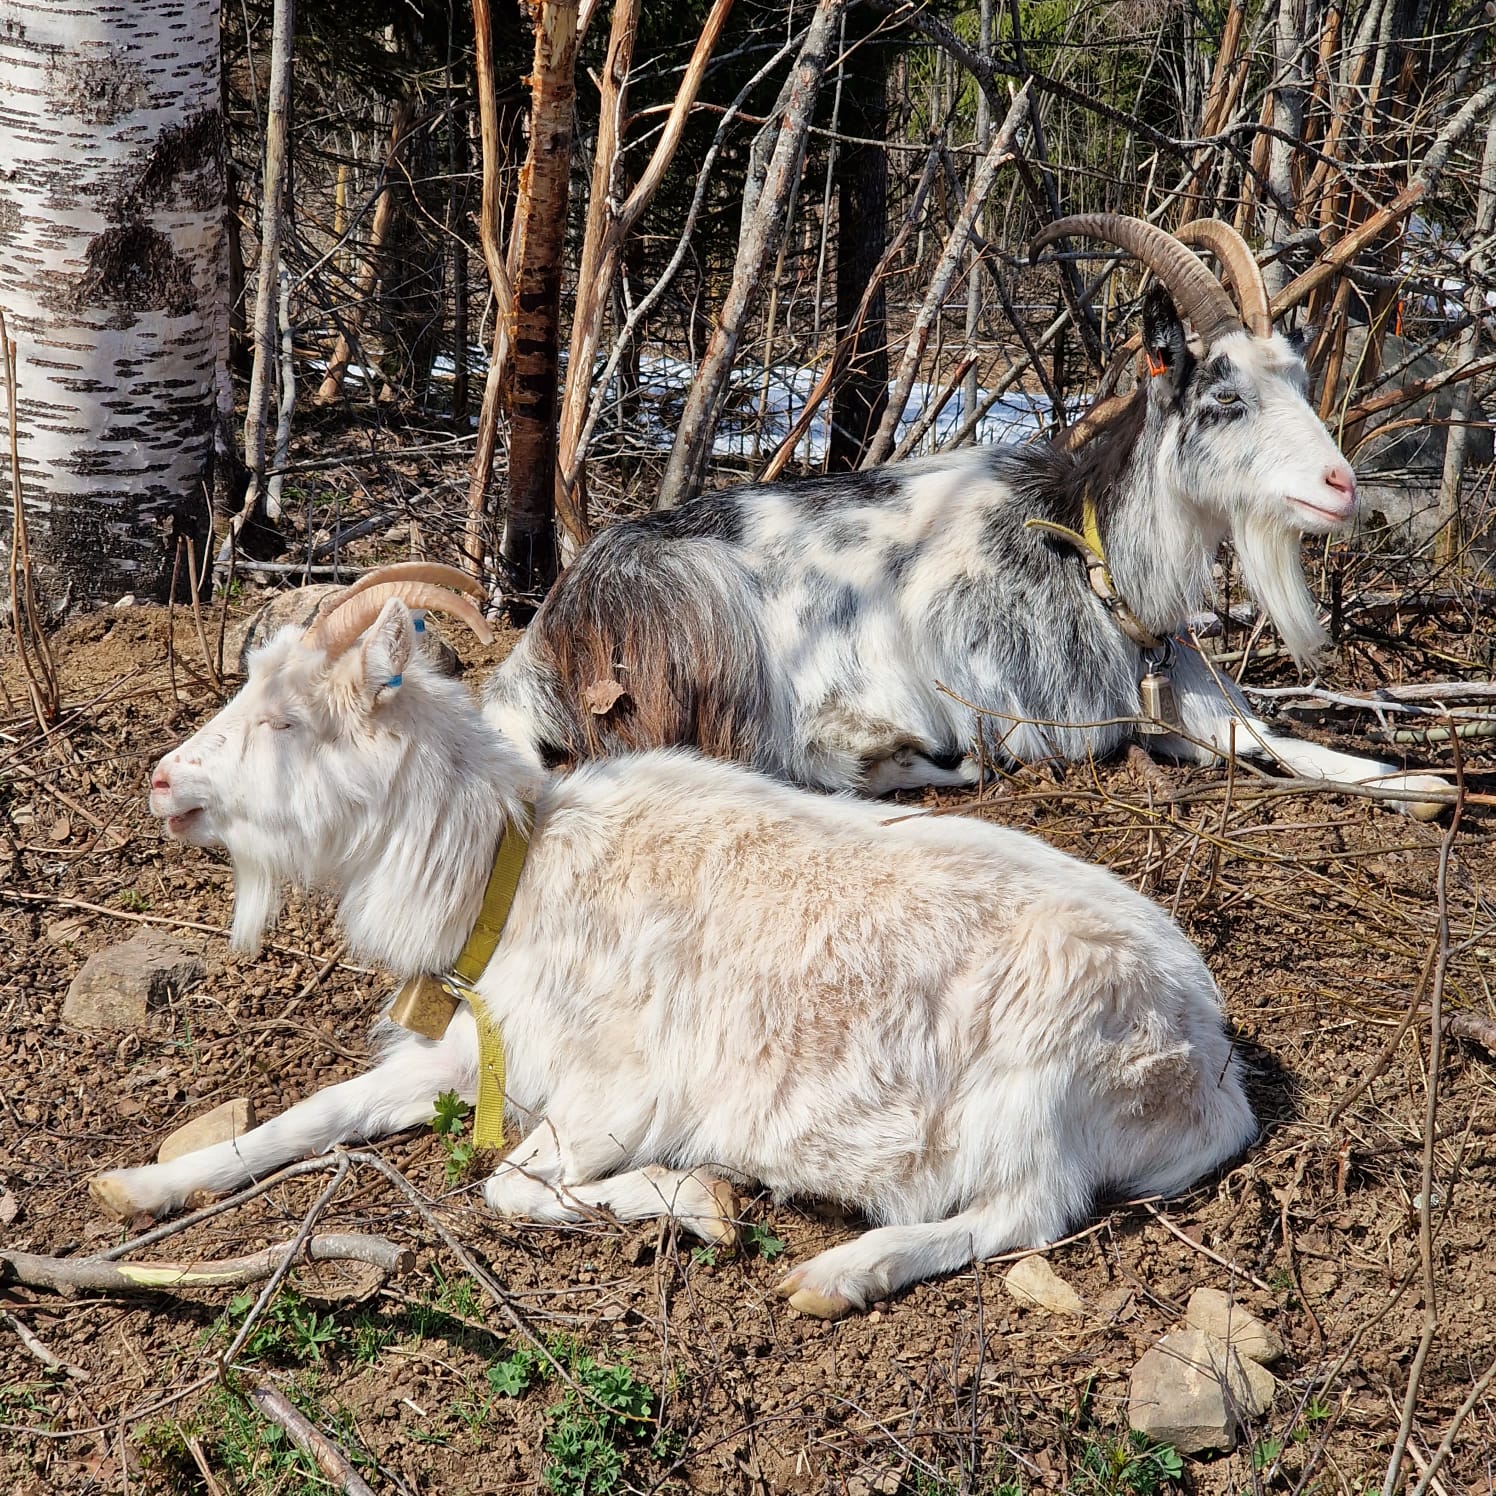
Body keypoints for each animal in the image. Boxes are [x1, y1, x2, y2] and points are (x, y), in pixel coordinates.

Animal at [90, 574, 1256, 1318]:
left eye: (287, 720)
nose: (160, 779)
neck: (516, 873)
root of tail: (1209, 1068)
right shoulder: (476, 1053)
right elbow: (317, 1111)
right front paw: (144, 1185)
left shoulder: (621, 1092)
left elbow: (510, 1187)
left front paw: (698, 1201)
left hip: (1033, 1097)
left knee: (1027, 1212)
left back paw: (839, 1272)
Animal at [484, 216, 1446, 817]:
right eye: (1224, 399)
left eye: (1299, 379)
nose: (1340, 485)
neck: (1089, 554)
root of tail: (538, 649)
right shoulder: (1036, 718)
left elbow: (1277, 740)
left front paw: (1420, 784)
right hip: (708, 626)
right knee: (758, 759)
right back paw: (887, 747)